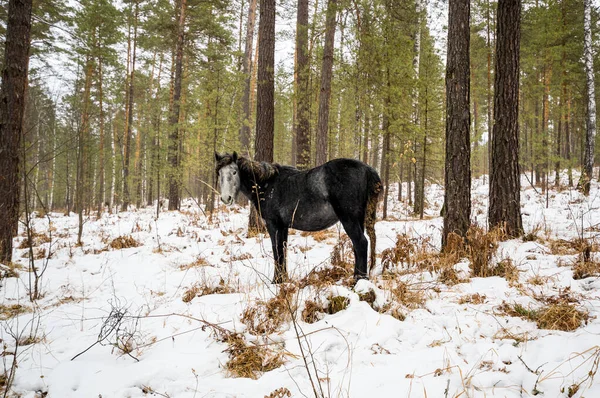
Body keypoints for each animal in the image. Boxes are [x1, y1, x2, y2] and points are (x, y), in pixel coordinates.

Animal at [216, 151, 382, 284]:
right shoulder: (283, 226)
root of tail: (367, 169)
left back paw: (359, 281)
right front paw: (283, 280)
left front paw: (276, 281)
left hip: (349, 219)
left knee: (361, 243)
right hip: (358, 219)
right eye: (219, 173)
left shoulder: (273, 224)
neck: (267, 184)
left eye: (234, 172)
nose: (226, 198)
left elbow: (277, 251)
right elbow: (282, 250)